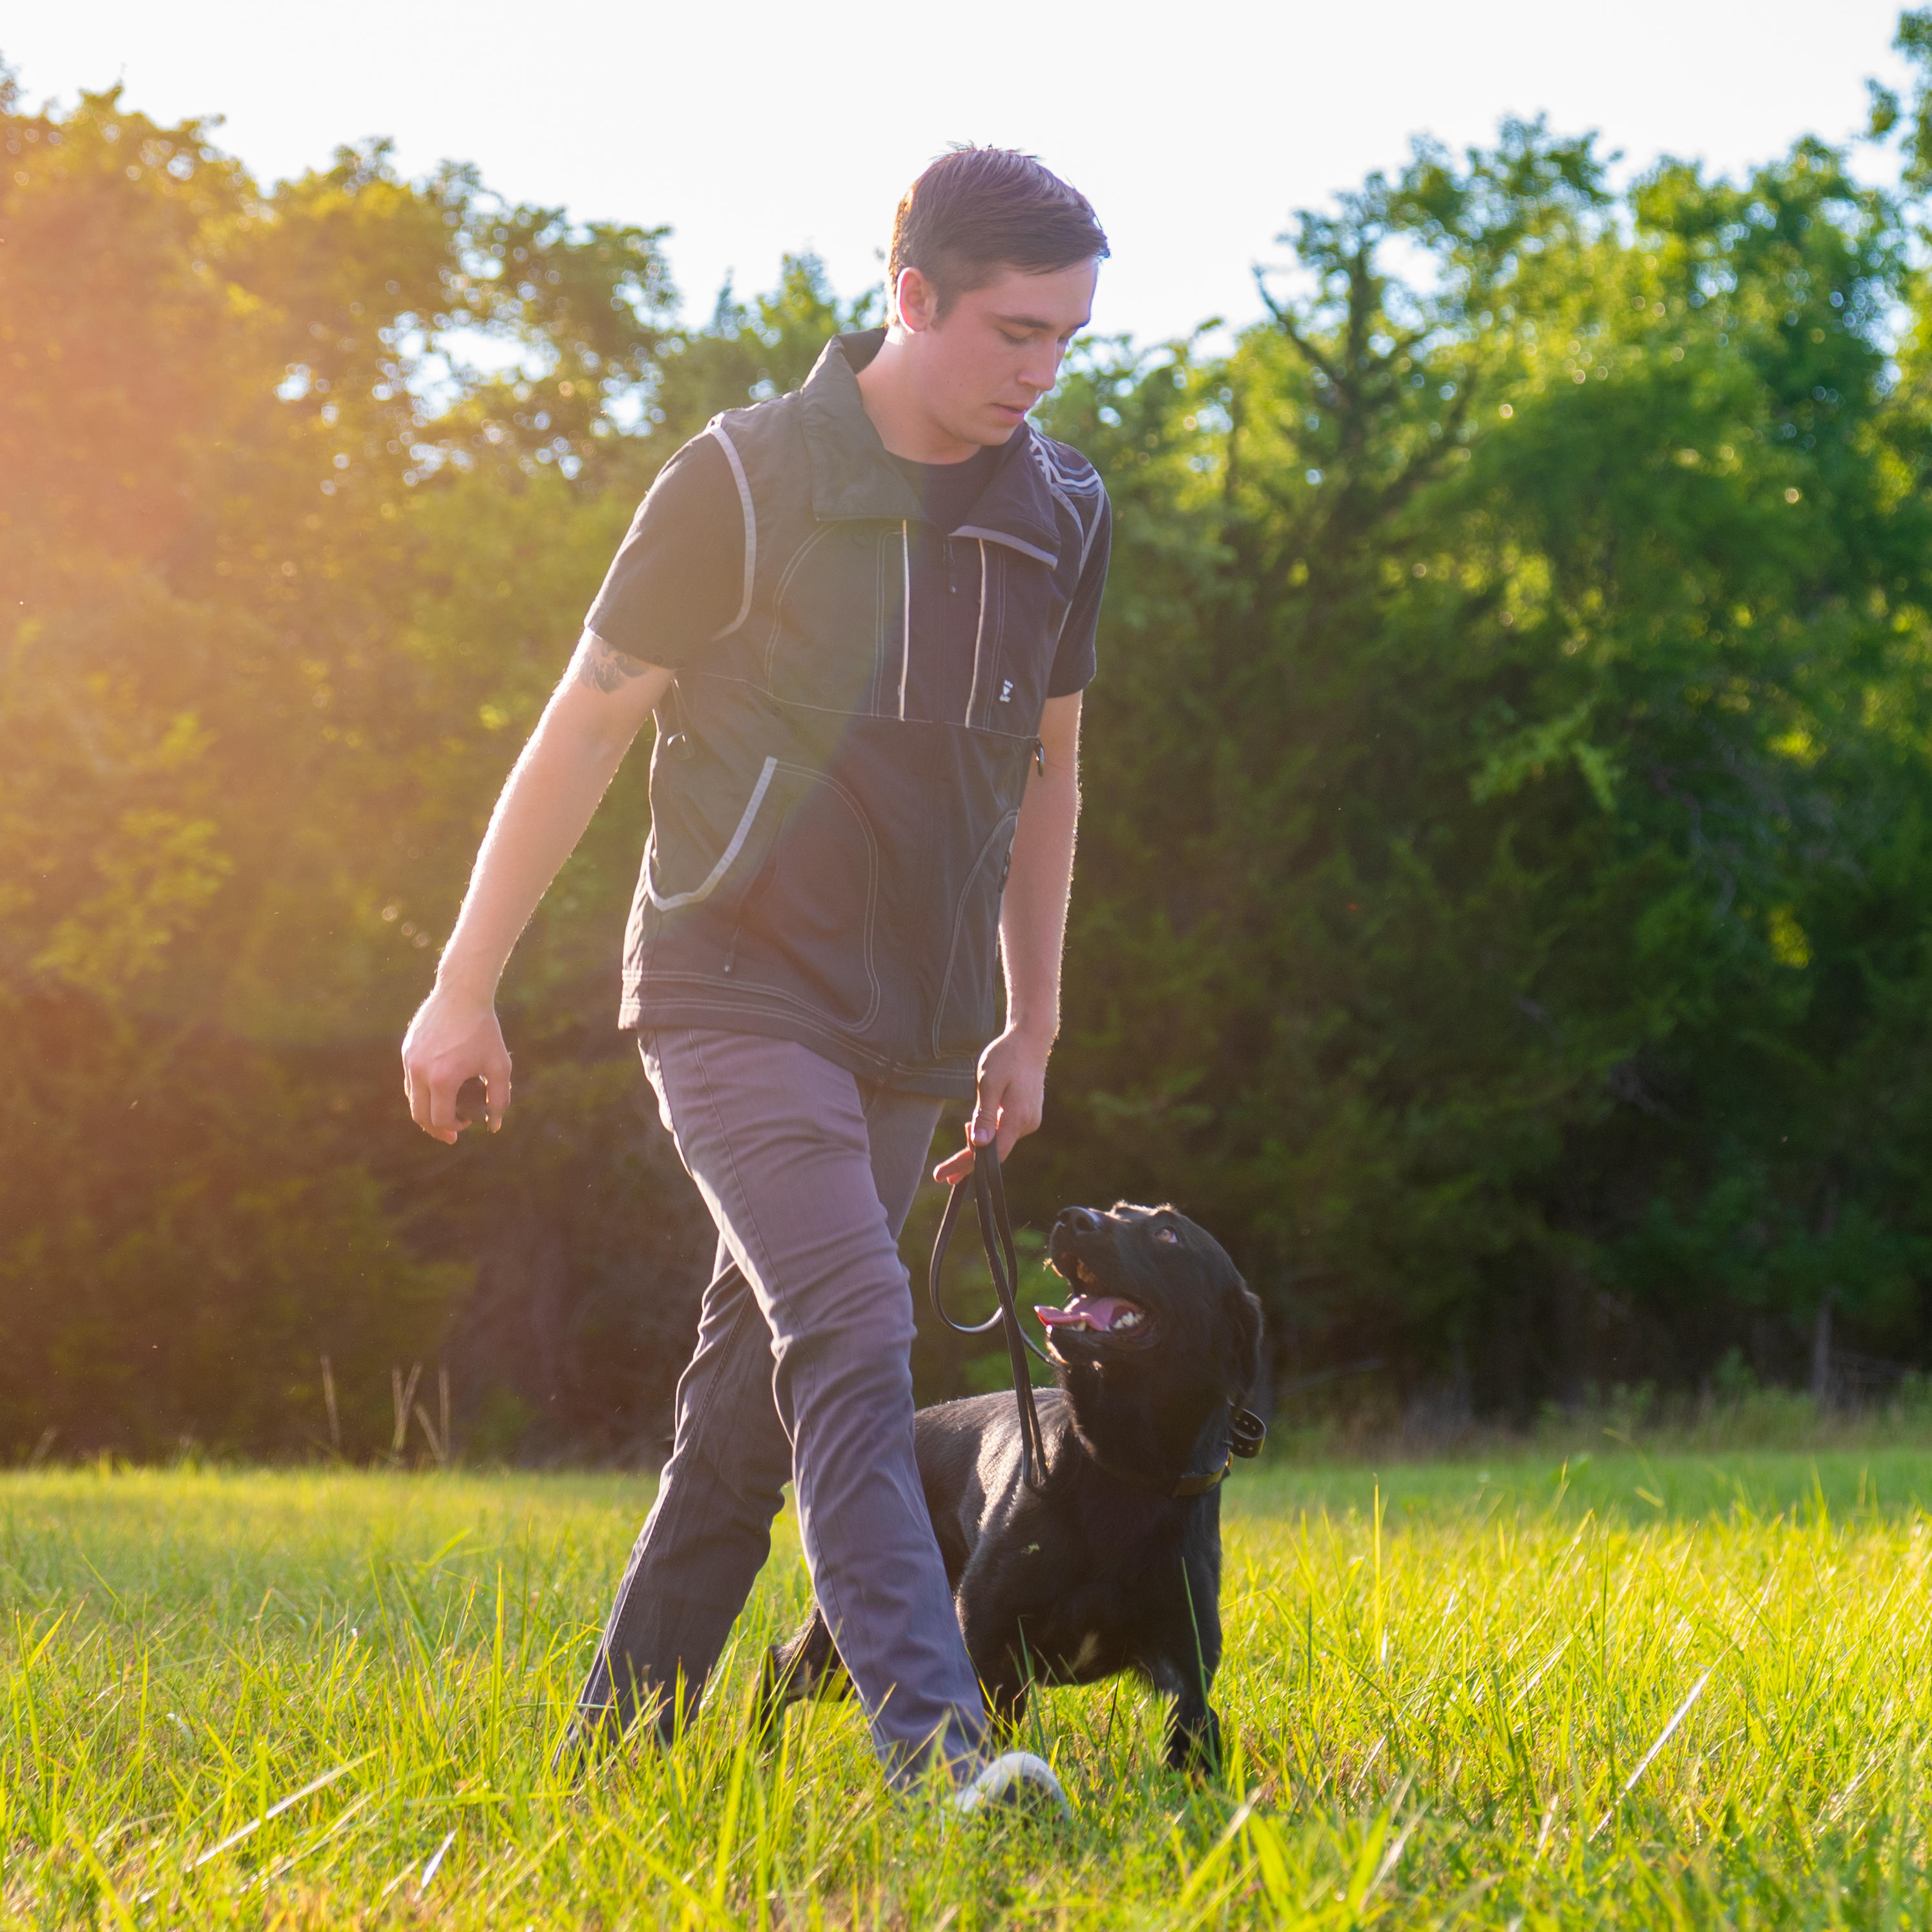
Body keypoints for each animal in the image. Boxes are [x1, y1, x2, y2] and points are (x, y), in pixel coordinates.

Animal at [753, 1198, 1267, 1769]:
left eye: (1167, 1234)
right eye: (1116, 1209)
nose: (1072, 1217)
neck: (1123, 1468)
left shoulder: (1187, 1670)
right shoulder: (986, 1641)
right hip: (849, 1647)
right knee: (775, 1666)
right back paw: (754, 1758)